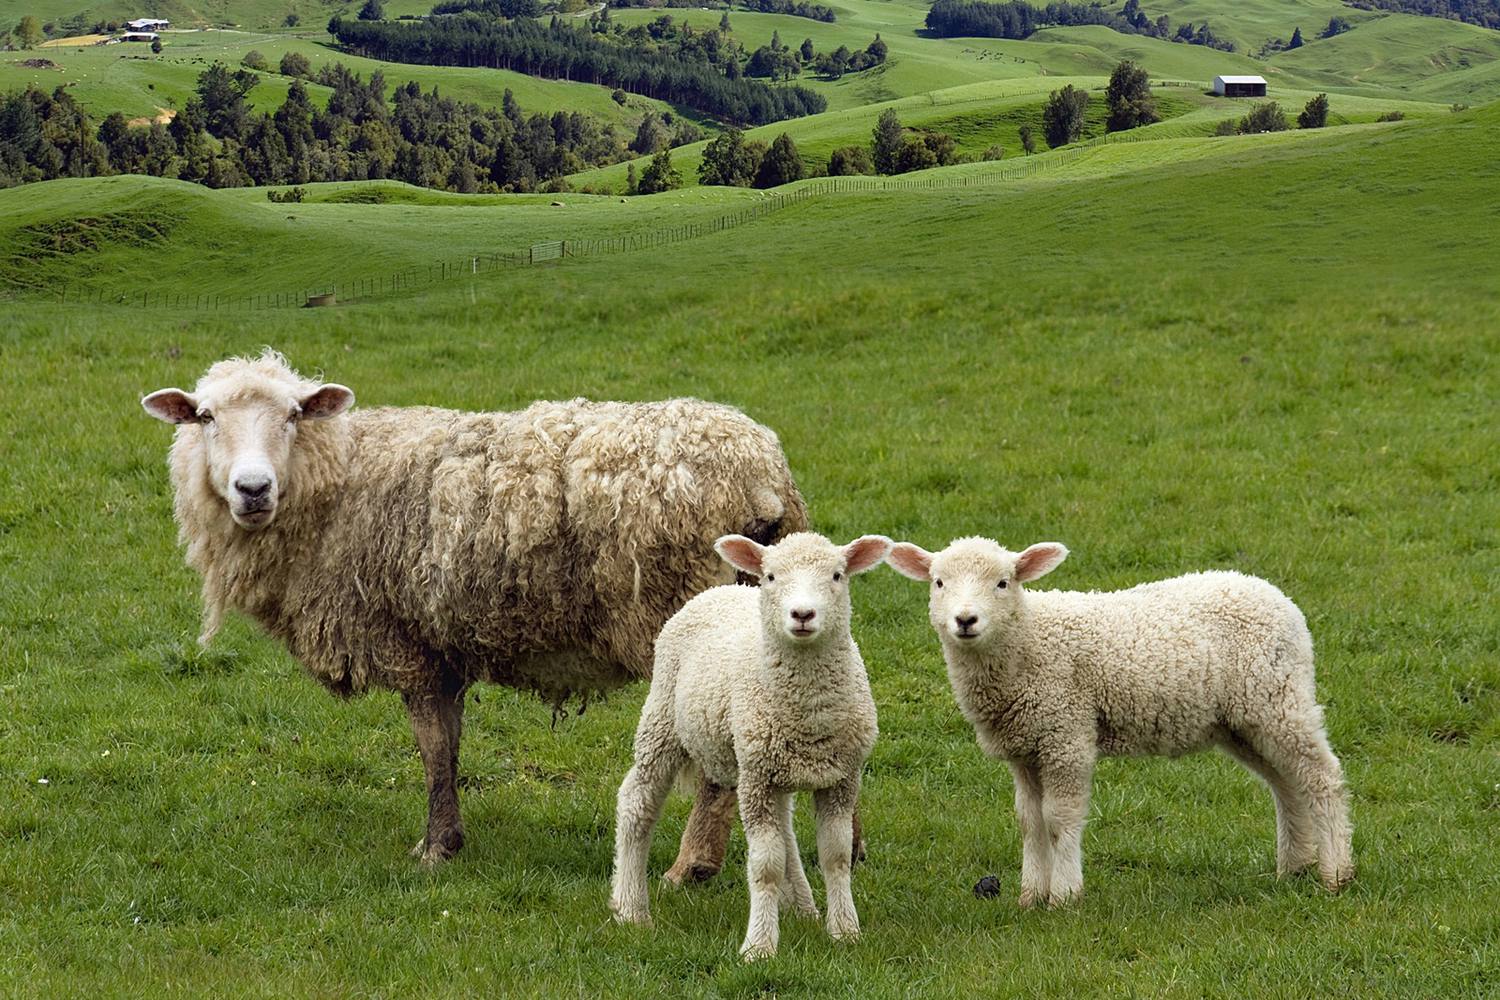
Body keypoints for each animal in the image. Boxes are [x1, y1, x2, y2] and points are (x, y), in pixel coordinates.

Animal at [141, 352, 816, 869]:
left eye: (291, 416)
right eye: (205, 417)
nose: (252, 489)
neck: (335, 483)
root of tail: (761, 475)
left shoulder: (406, 643)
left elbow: (433, 751)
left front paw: (435, 849)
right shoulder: (444, 646)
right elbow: (451, 746)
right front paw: (451, 837)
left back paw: (692, 865)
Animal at [609, 530, 888, 959]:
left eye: (837, 575)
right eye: (771, 576)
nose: (802, 614)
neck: (809, 712)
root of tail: (723, 589)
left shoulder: (841, 777)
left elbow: (836, 856)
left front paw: (844, 930)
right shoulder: (758, 779)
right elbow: (765, 865)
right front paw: (759, 946)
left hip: (768, 761)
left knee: (785, 830)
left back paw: (803, 907)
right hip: (664, 718)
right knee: (637, 801)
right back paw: (630, 908)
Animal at [882, 539, 1356, 905]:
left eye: (1003, 583)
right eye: (938, 583)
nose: (965, 620)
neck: (1028, 642)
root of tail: (1277, 597)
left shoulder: (1066, 734)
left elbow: (1059, 818)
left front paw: (1065, 895)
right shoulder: (1026, 746)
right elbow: (1030, 821)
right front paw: (1031, 895)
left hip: (1278, 697)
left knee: (1321, 777)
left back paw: (1336, 873)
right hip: (1243, 720)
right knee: (1286, 784)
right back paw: (1294, 866)